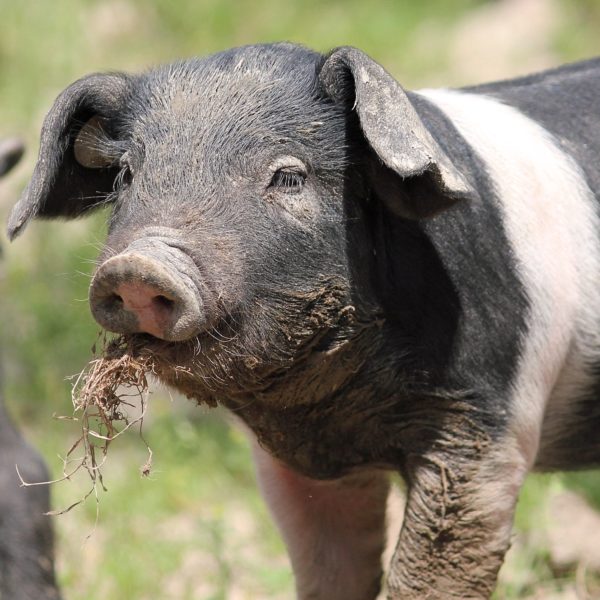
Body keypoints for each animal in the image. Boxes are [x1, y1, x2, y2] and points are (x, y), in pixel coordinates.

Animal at [7, 44, 600, 596]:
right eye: (128, 176)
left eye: (289, 176)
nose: (139, 267)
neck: (339, 407)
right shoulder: (296, 465)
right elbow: (331, 569)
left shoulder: (488, 426)